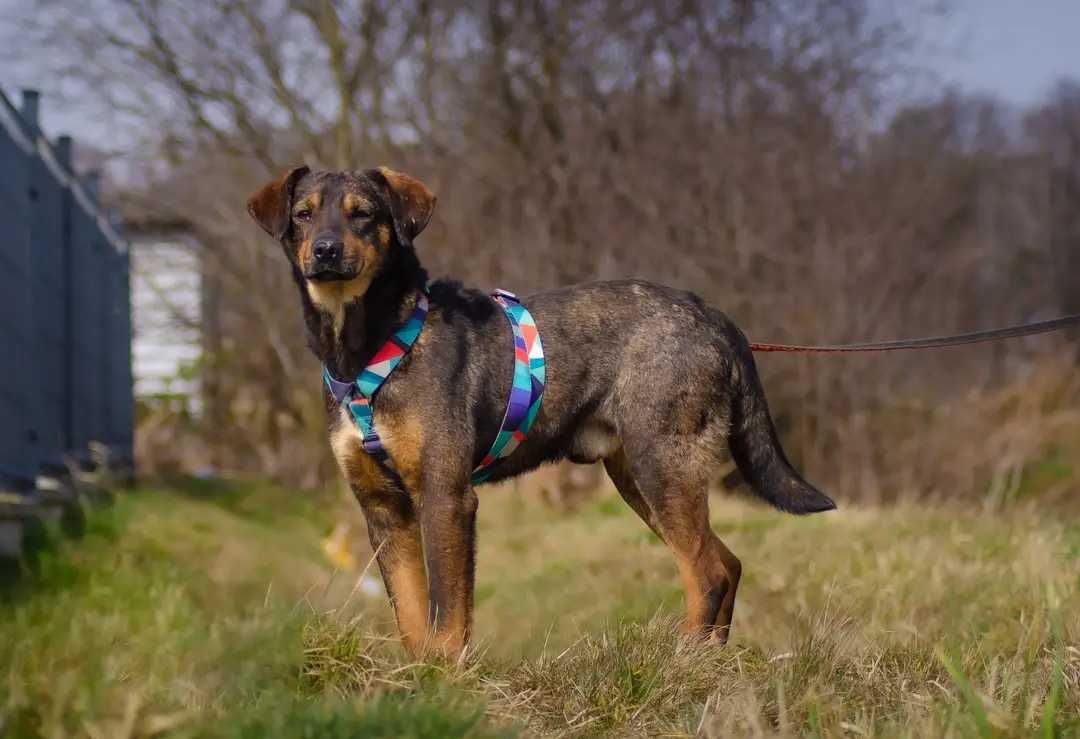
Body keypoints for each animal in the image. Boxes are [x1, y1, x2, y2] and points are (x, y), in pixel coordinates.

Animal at [247, 164, 833, 656]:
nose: (325, 251)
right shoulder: (383, 509)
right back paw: (710, 662)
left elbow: (448, 616)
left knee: (708, 571)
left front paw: (447, 679)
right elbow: (412, 618)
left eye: (363, 214)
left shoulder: (445, 496)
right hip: (640, 479)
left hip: (662, 466)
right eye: (303, 214)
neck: (368, 346)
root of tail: (712, 314)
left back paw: (682, 662)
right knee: (726, 563)